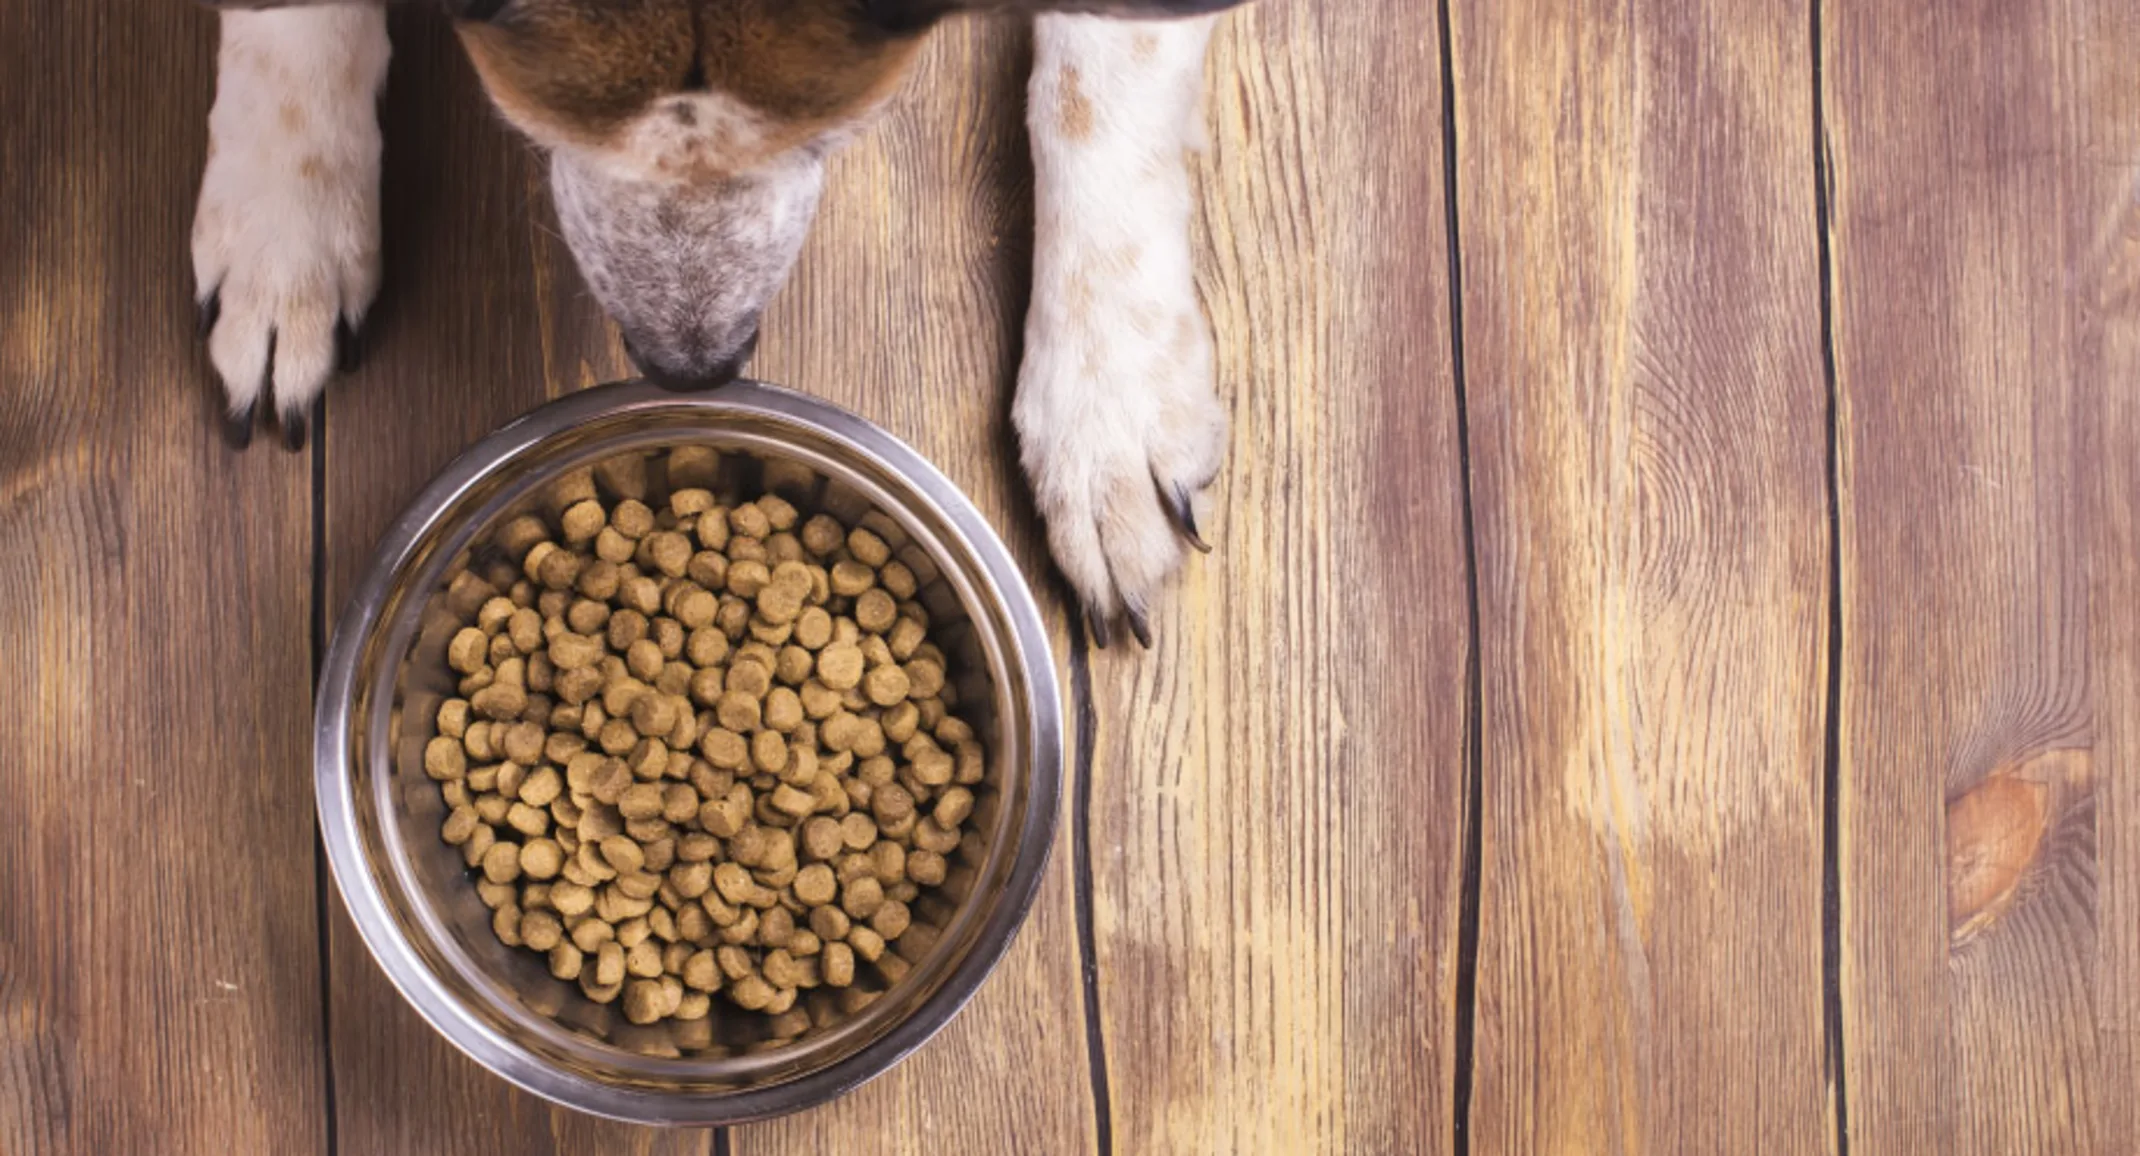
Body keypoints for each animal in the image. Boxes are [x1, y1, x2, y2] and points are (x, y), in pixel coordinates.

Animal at [194, 0, 1249, 646]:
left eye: (835, 137)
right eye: (533, 127)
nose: (695, 367)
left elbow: (1101, 77)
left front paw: (1108, 405)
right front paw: (283, 222)